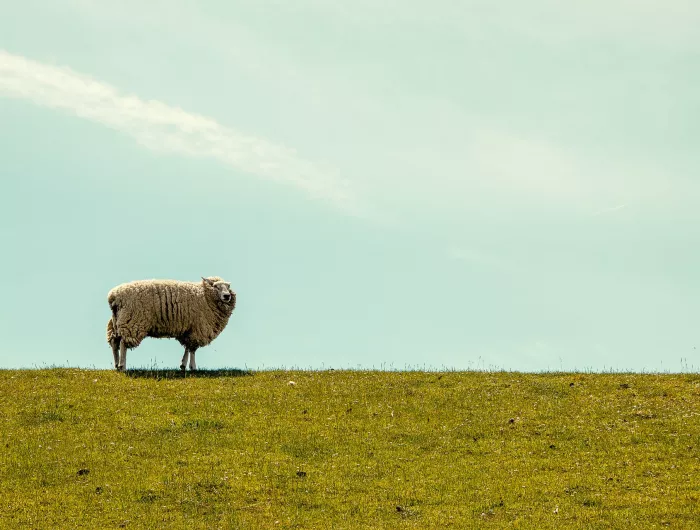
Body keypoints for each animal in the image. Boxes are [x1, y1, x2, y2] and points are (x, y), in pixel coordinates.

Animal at [106, 276, 236, 371]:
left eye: (228, 286)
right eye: (216, 286)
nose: (227, 296)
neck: (205, 296)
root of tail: (113, 296)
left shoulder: (188, 329)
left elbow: (187, 347)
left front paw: (183, 365)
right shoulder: (197, 329)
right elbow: (192, 349)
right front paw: (193, 367)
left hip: (117, 321)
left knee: (114, 341)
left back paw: (116, 364)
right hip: (132, 321)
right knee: (123, 342)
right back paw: (122, 365)